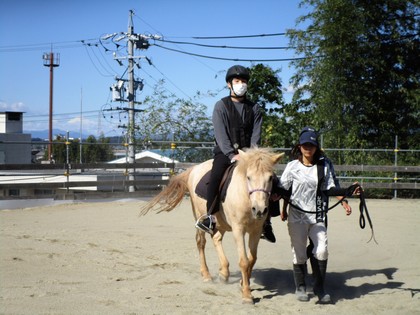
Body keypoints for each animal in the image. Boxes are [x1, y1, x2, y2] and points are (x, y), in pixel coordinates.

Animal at [140, 148, 282, 304]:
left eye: (270, 178)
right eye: (248, 177)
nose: (260, 210)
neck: (245, 197)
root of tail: (194, 169)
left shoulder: (255, 231)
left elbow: (252, 259)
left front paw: (243, 283)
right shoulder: (238, 229)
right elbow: (244, 262)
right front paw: (246, 295)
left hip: (220, 222)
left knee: (216, 238)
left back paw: (224, 272)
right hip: (200, 215)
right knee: (201, 242)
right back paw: (207, 275)